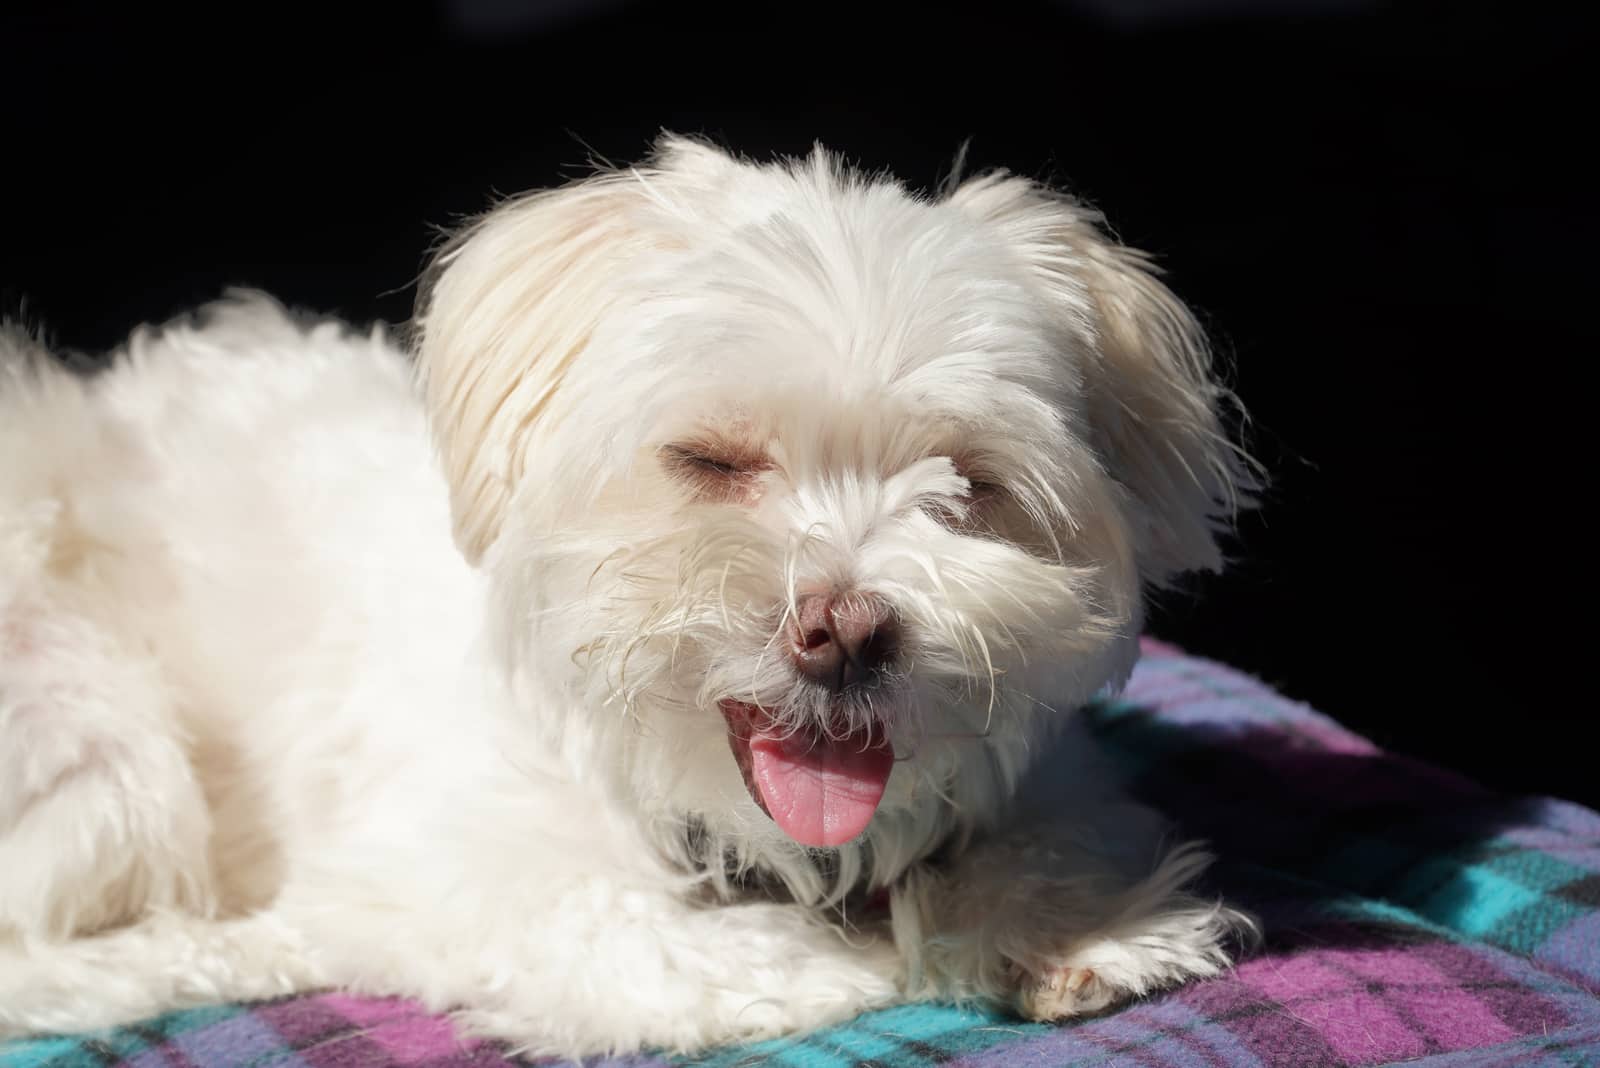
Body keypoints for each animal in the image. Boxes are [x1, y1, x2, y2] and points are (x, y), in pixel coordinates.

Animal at [0, 137, 1248, 1055]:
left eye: (967, 484)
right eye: (710, 459)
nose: (846, 631)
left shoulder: (1046, 770)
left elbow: (1048, 834)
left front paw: (1068, 928)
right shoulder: (458, 864)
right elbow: (626, 939)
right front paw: (841, 963)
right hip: (101, 739)